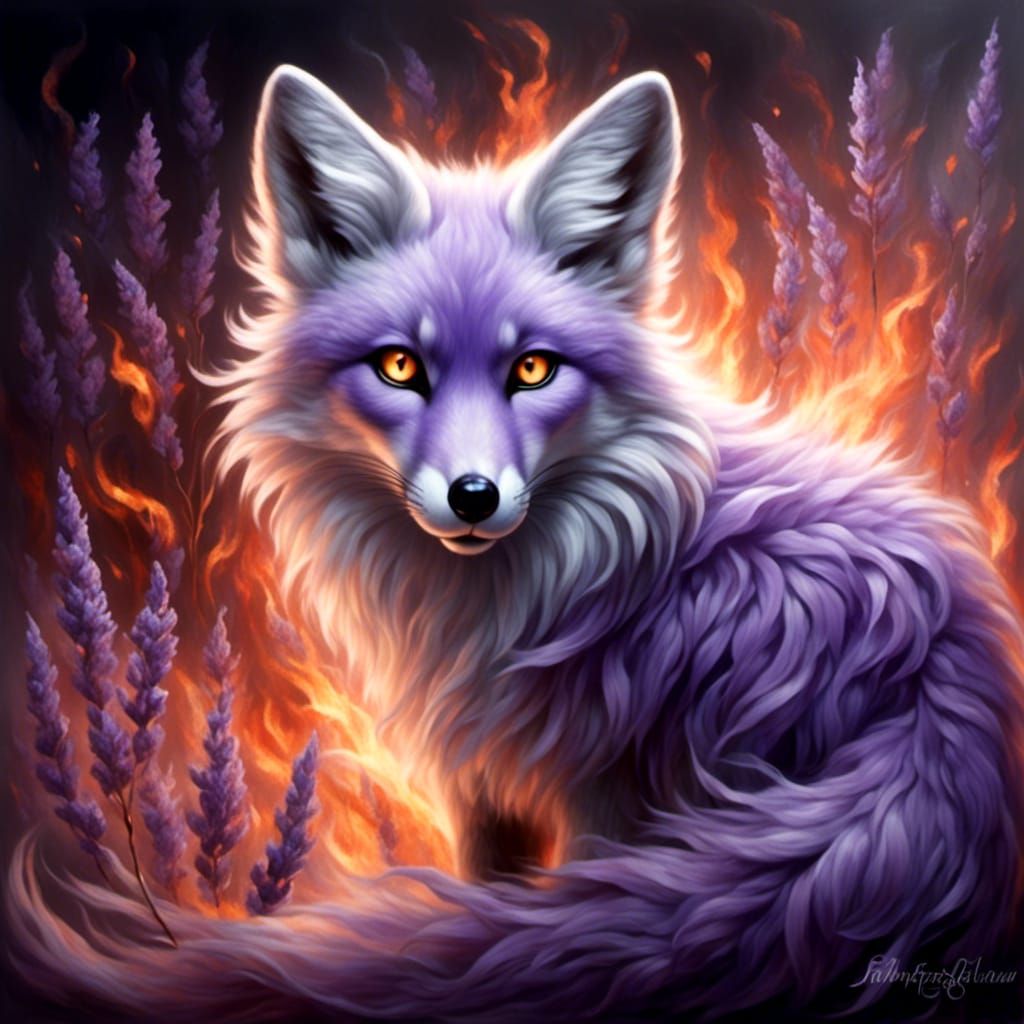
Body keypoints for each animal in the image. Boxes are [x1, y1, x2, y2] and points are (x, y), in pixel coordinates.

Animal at [9, 67, 1023, 1021]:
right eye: (400, 366)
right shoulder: (486, 788)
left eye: (533, 369)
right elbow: (489, 893)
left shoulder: (608, 799)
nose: (473, 496)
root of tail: (946, 687)